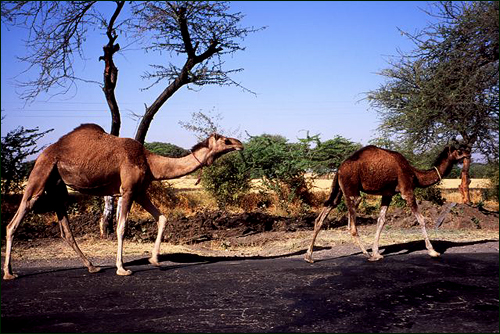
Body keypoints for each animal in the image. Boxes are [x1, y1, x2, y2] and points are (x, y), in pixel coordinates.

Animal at [3, 123, 244, 280]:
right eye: (225, 140)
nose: (240, 144)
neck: (151, 162)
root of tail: (43, 153)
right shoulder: (128, 190)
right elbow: (121, 227)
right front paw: (122, 268)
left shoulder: (140, 192)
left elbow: (162, 218)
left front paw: (155, 260)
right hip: (40, 174)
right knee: (15, 220)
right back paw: (9, 273)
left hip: (57, 187)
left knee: (66, 230)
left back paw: (92, 267)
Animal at [302, 144, 470, 264]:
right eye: (459, 150)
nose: (468, 152)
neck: (414, 174)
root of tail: (338, 169)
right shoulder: (406, 190)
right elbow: (421, 218)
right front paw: (433, 251)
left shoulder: (387, 194)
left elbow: (381, 221)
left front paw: (377, 252)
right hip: (352, 188)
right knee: (352, 225)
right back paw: (367, 254)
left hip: (338, 190)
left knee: (322, 216)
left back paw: (309, 256)